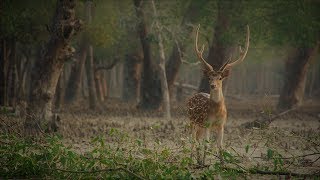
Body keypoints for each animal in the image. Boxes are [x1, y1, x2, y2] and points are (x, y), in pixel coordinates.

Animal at [188, 24, 250, 164]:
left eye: (220, 78)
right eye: (210, 78)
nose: (213, 85)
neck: (216, 112)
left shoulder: (221, 125)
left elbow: (220, 145)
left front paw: (222, 163)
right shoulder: (208, 123)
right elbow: (206, 144)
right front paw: (204, 163)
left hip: (200, 125)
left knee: (197, 139)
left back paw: (198, 160)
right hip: (192, 121)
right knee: (193, 140)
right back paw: (192, 160)